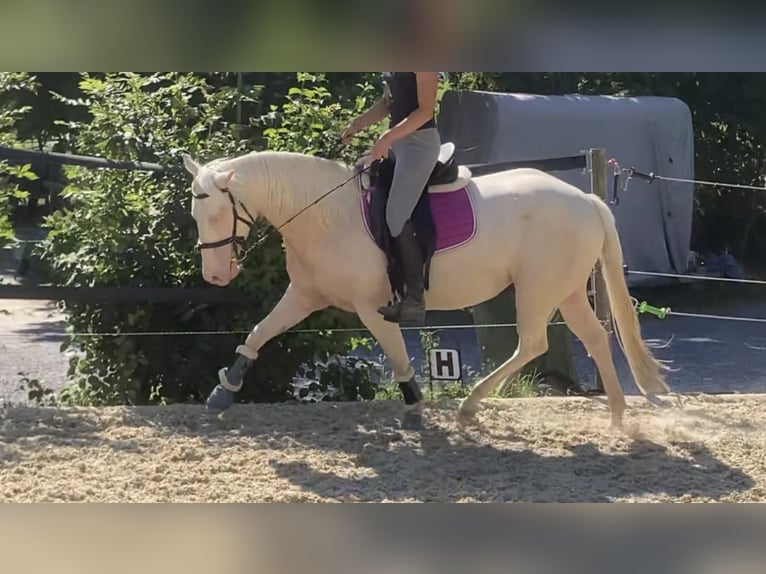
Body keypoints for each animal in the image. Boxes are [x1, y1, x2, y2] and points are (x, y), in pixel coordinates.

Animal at [181, 146, 670, 430]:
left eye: (218, 215)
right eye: (196, 215)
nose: (215, 277)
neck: (327, 215)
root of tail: (585, 199)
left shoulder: (372, 306)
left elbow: (397, 353)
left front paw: (414, 406)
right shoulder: (304, 295)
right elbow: (259, 333)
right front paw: (224, 391)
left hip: (538, 289)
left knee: (532, 344)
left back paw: (470, 406)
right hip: (563, 290)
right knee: (595, 338)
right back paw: (618, 418)